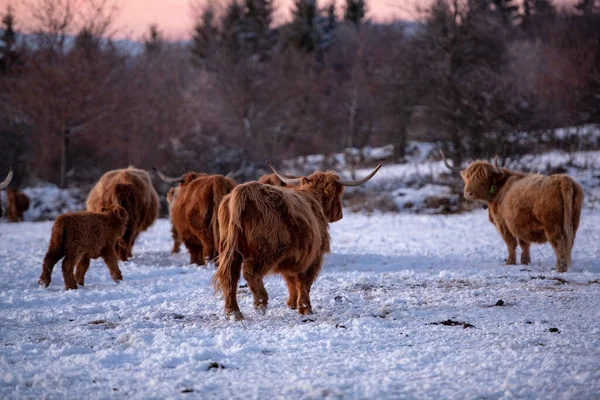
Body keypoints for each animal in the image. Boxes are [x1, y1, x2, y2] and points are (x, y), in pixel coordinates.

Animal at [214, 161, 380, 320]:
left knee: (230, 276)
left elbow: (291, 280)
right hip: (266, 250)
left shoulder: (293, 257)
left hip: (230, 248)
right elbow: (304, 282)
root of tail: (243, 191)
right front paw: (306, 309)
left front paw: (292, 304)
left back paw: (234, 313)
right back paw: (260, 303)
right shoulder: (314, 256)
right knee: (250, 273)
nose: (339, 214)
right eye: (339, 194)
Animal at [438, 152, 584, 274]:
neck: (499, 189)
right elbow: (524, 244)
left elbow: (511, 243)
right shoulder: (521, 225)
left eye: (482, 178)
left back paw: (560, 268)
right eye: (467, 177)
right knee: (569, 243)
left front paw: (510, 262)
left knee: (559, 243)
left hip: (551, 225)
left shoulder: (502, 223)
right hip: (573, 222)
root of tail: (562, 179)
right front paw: (525, 262)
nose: (468, 193)